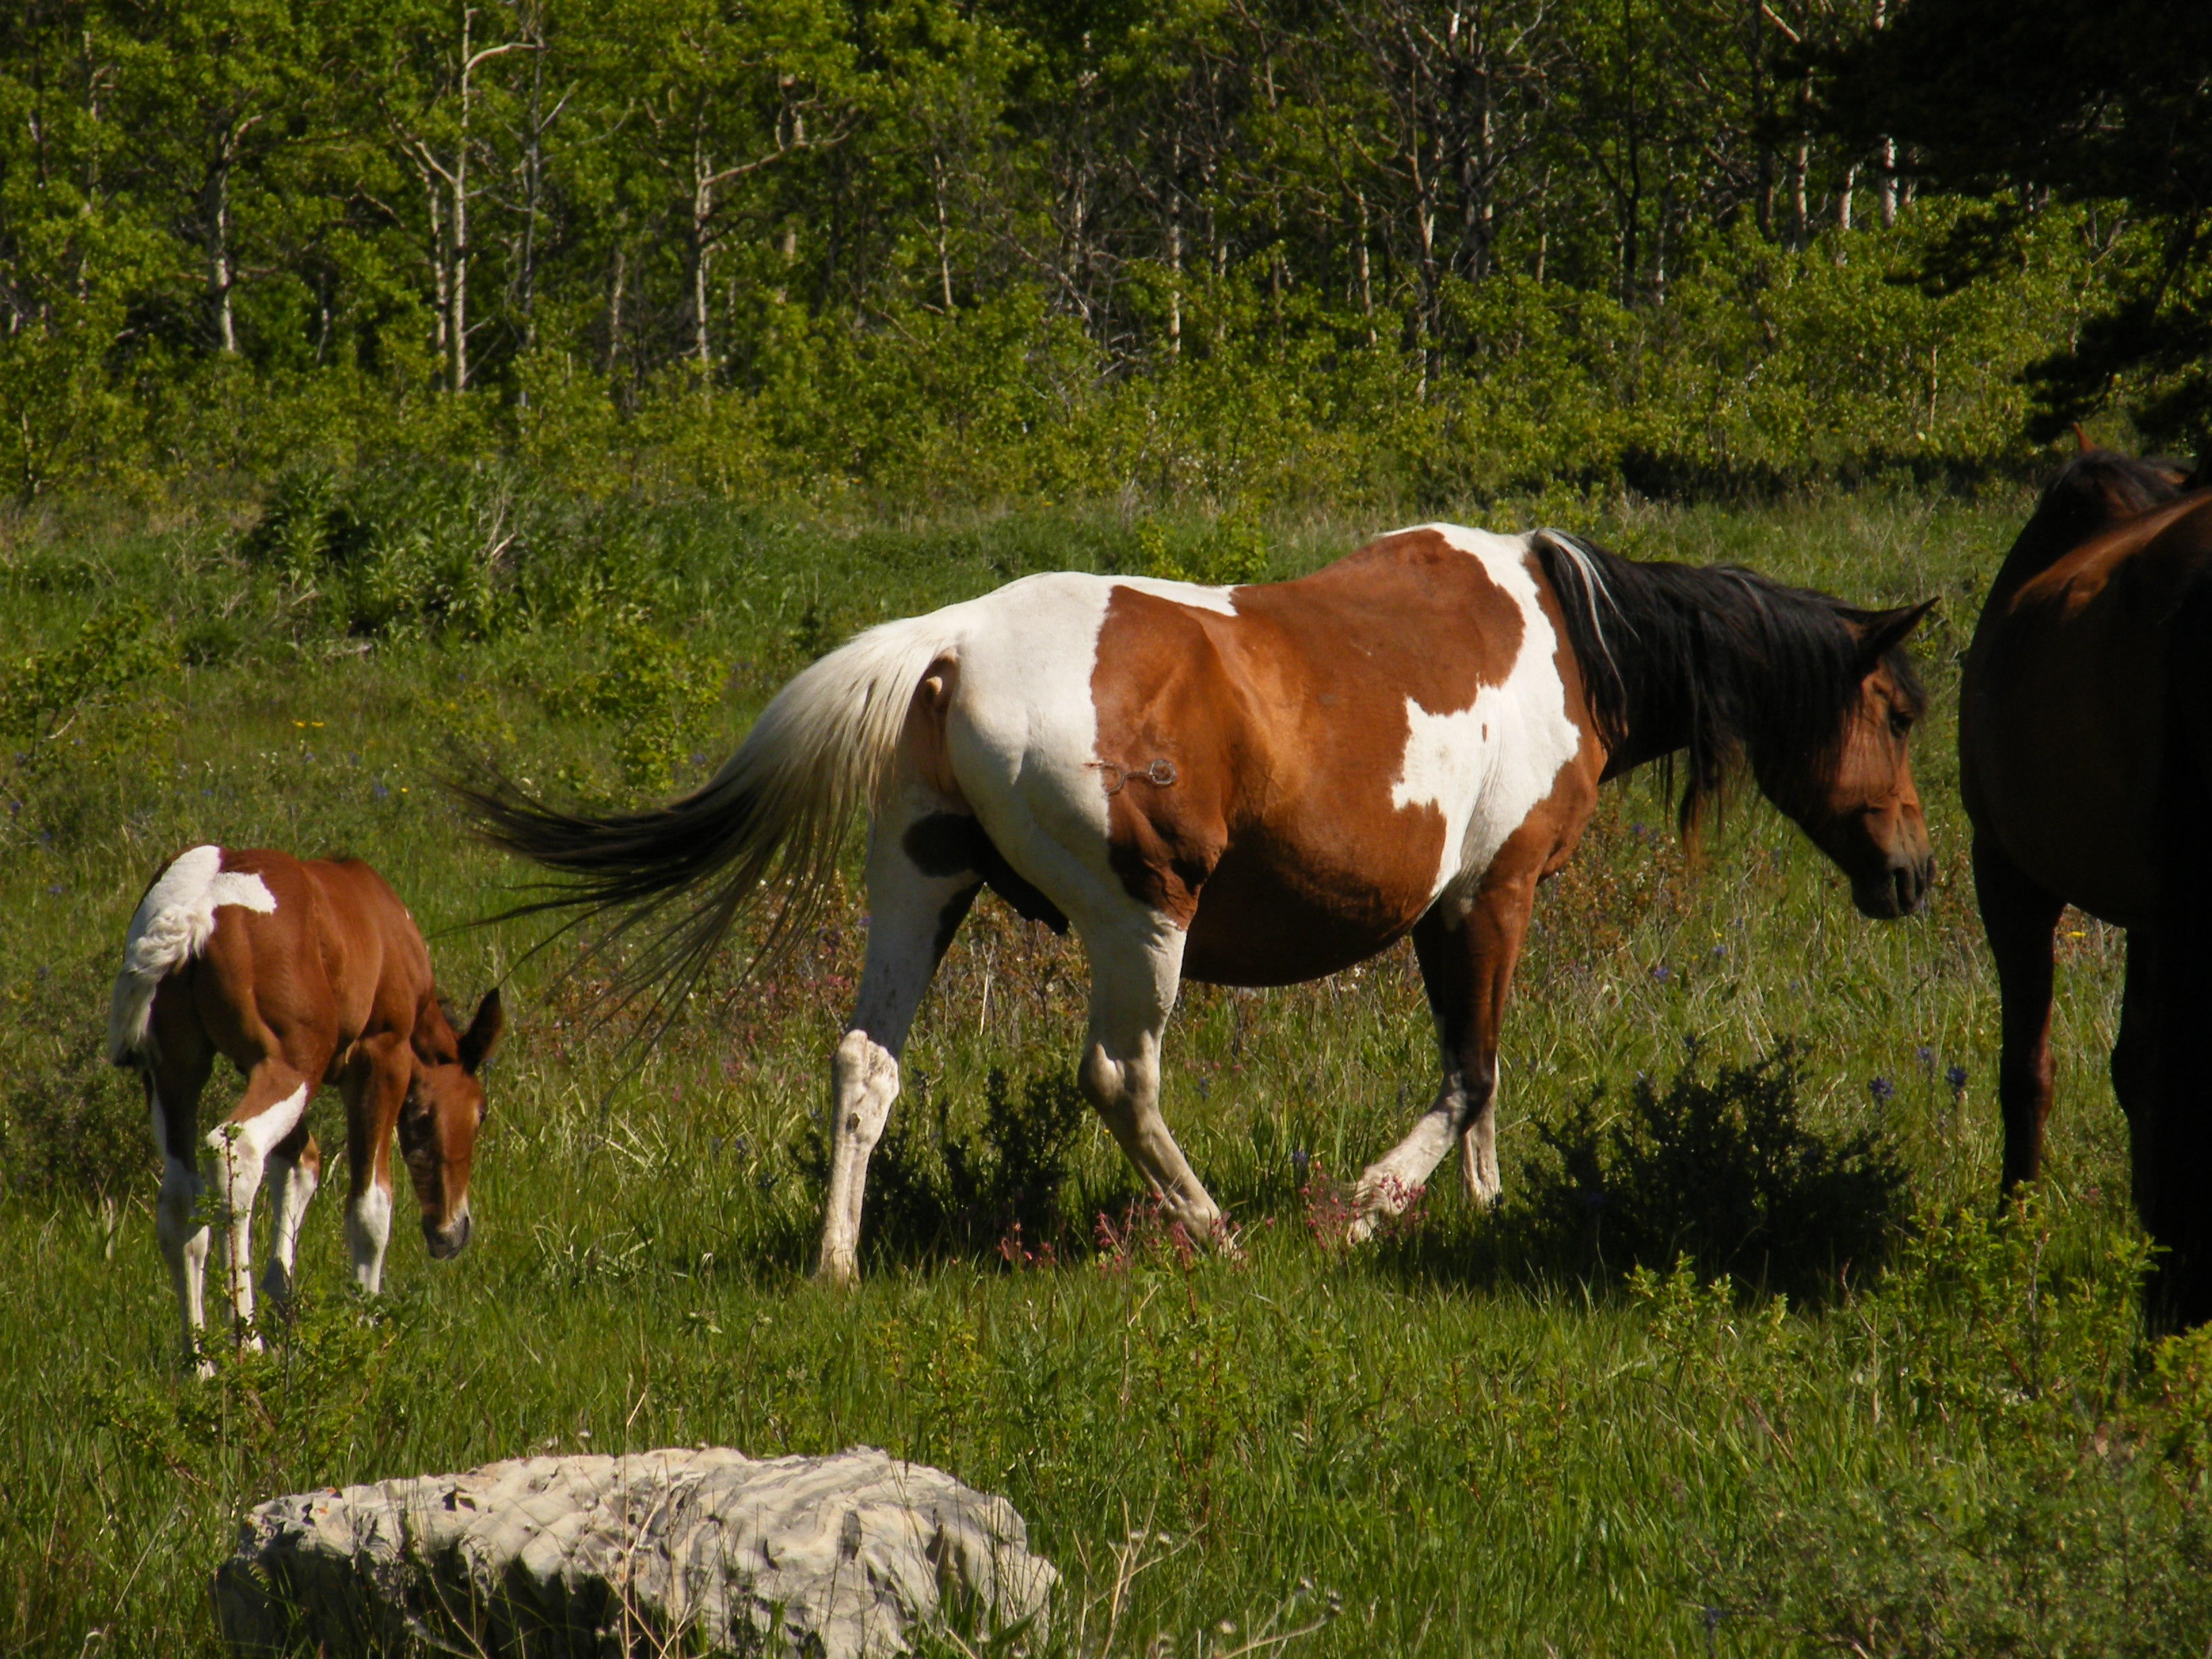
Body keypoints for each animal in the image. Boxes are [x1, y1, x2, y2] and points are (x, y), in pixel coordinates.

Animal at [108, 849, 501, 1371]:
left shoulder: (247, 1067)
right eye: (479, 1113)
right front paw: (363, 1329)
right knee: (235, 1153)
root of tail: (195, 908)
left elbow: (300, 1165)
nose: (452, 1232)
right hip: (293, 1065)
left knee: (180, 1199)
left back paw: (202, 1366)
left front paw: (286, 1308)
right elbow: (370, 1206)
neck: (388, 931)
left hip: (175, 1073)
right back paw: (247, 1348)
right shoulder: (382, 1058)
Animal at [471, 522, 1938, 1283]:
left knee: (864, 1063)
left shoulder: (1459, 915)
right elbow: (1469, 1072)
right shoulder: (1487, 895)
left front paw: (1480, 1207)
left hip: (920, 885)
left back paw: (837, 1262)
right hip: (1142, 920)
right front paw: (1372, 1206)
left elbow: (1481, 1079)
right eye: (1898, 710)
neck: (1574, 639)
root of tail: (947, 642)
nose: (1914, 875)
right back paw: (1217, 1232)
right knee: (1120, 1077)